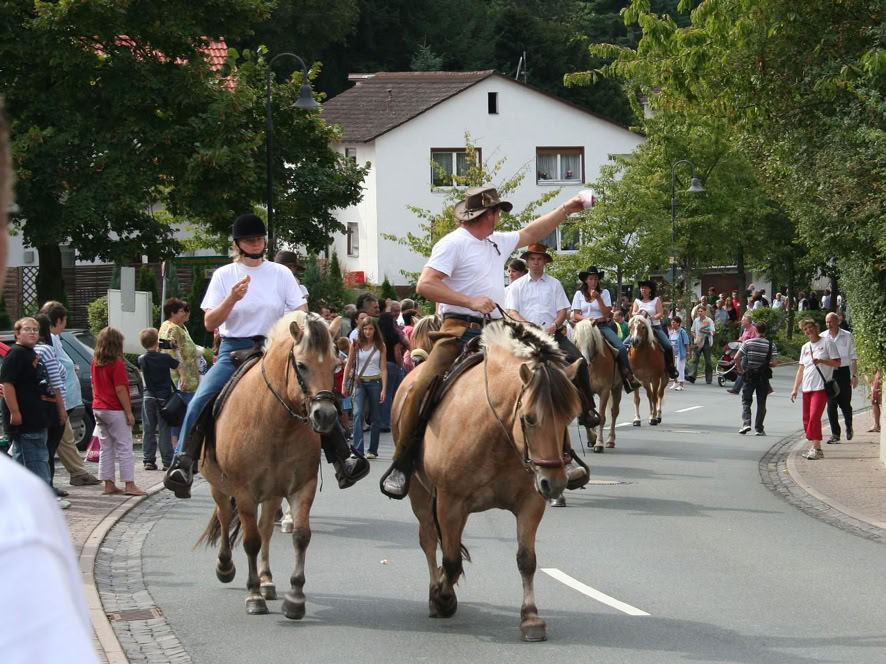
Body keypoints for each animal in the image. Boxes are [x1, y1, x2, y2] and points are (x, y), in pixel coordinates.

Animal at [195, 310, 338, 619]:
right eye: (301, 365)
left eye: (336, 365)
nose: (325, 416)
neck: (275, 424)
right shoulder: (244, 492)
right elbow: (250, 540)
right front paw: (253, 596)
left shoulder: (301, 487)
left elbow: (300, 536)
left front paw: (294, 597)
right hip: (220, 487)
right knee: (225, 516)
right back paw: (226, 567)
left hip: (272, 494)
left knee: (266, 530)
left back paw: (266, 580)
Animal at [392, 321, 583, 642]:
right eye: (529, 418)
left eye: (570, 417)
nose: (554, 484)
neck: (495, 430)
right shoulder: (450, 503)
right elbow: (451, 560)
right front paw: (442, 598)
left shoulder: (530, 503)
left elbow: (526, 559)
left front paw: (531, 618)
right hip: (420, 493)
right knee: (429, 539)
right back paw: (434, 591)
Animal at [573, 319, 623, 452]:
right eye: (576, 341)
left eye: (591, 340)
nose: (584, 361)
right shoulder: (585, 392)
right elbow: (587, 416)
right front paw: (591, 439)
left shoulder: (604, 391)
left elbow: (602, 417)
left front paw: (599, 443)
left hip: (617, 387)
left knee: (614, 412)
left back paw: (610, 440)